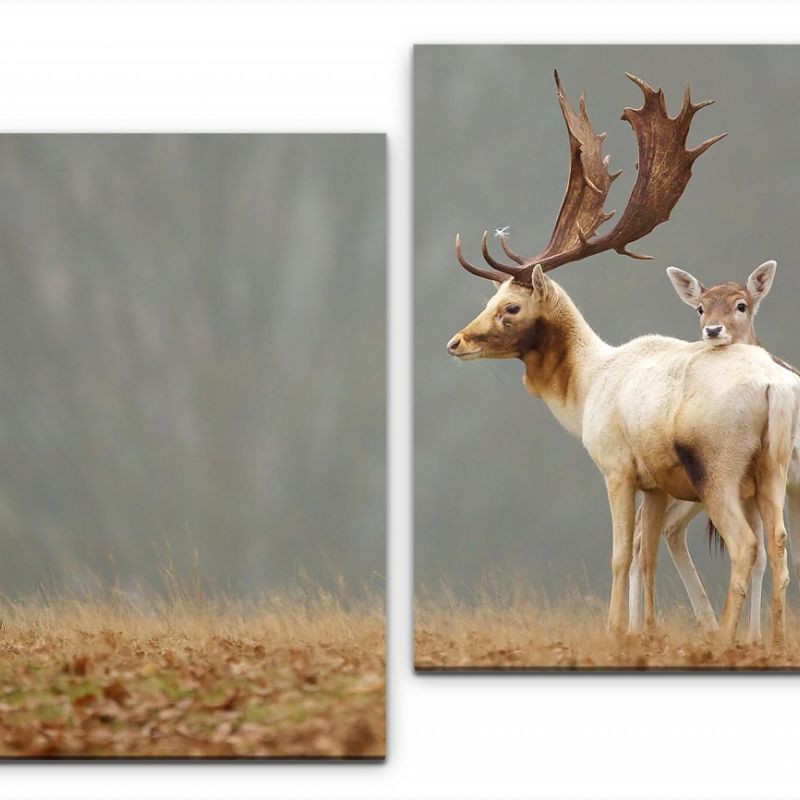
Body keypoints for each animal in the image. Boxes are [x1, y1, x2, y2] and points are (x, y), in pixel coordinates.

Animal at [628, 260, 800, 636]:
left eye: (742, 305)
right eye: (700, 307)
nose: (713, 330)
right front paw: (754, 636)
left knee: (657, 530)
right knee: (648, 531)